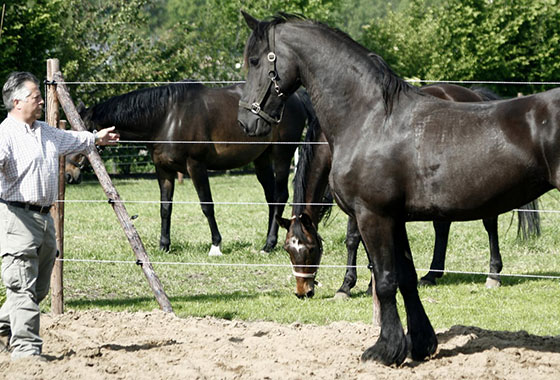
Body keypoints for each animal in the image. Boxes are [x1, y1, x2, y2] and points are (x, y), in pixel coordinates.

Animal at [80, 82, 316, 255]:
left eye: (84, 129)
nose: (73, 172)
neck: (167, 118)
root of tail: (296, 97)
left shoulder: (196, 166)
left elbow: (206, 206)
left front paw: (216, 245)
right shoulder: (164, 170)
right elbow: (165, 208)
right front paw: (164, 245)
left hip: (281, 155)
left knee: (280, 195)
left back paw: (269, 244)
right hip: (262, 159)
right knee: (271, 198)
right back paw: (269, 244)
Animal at [278, 83, 540, 300]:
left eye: (310, 249)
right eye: (288, 249)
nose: (303, 292)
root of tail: (474, 95)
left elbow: (353, 239)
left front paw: (347, 286)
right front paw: (371, 280)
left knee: (489, 223)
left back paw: (493, 273)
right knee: (442, 227)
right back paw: (432, 274)